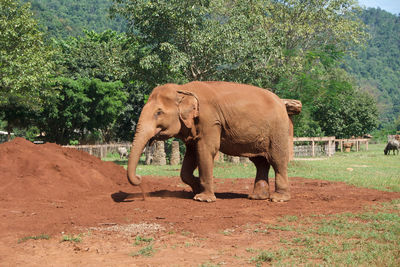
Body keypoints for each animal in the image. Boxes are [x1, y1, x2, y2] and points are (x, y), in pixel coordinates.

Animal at [129, 81, 294, 203]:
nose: (140, 178)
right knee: (260, 162)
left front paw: (203, 198)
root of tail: (282, 102)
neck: (183, 89)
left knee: (277, 160)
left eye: (158, 113)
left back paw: (278, 199)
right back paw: (256, 197)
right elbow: (191, 155)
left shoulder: (209, 119)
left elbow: (206, 150)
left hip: (278, 129)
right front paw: (196, 188)